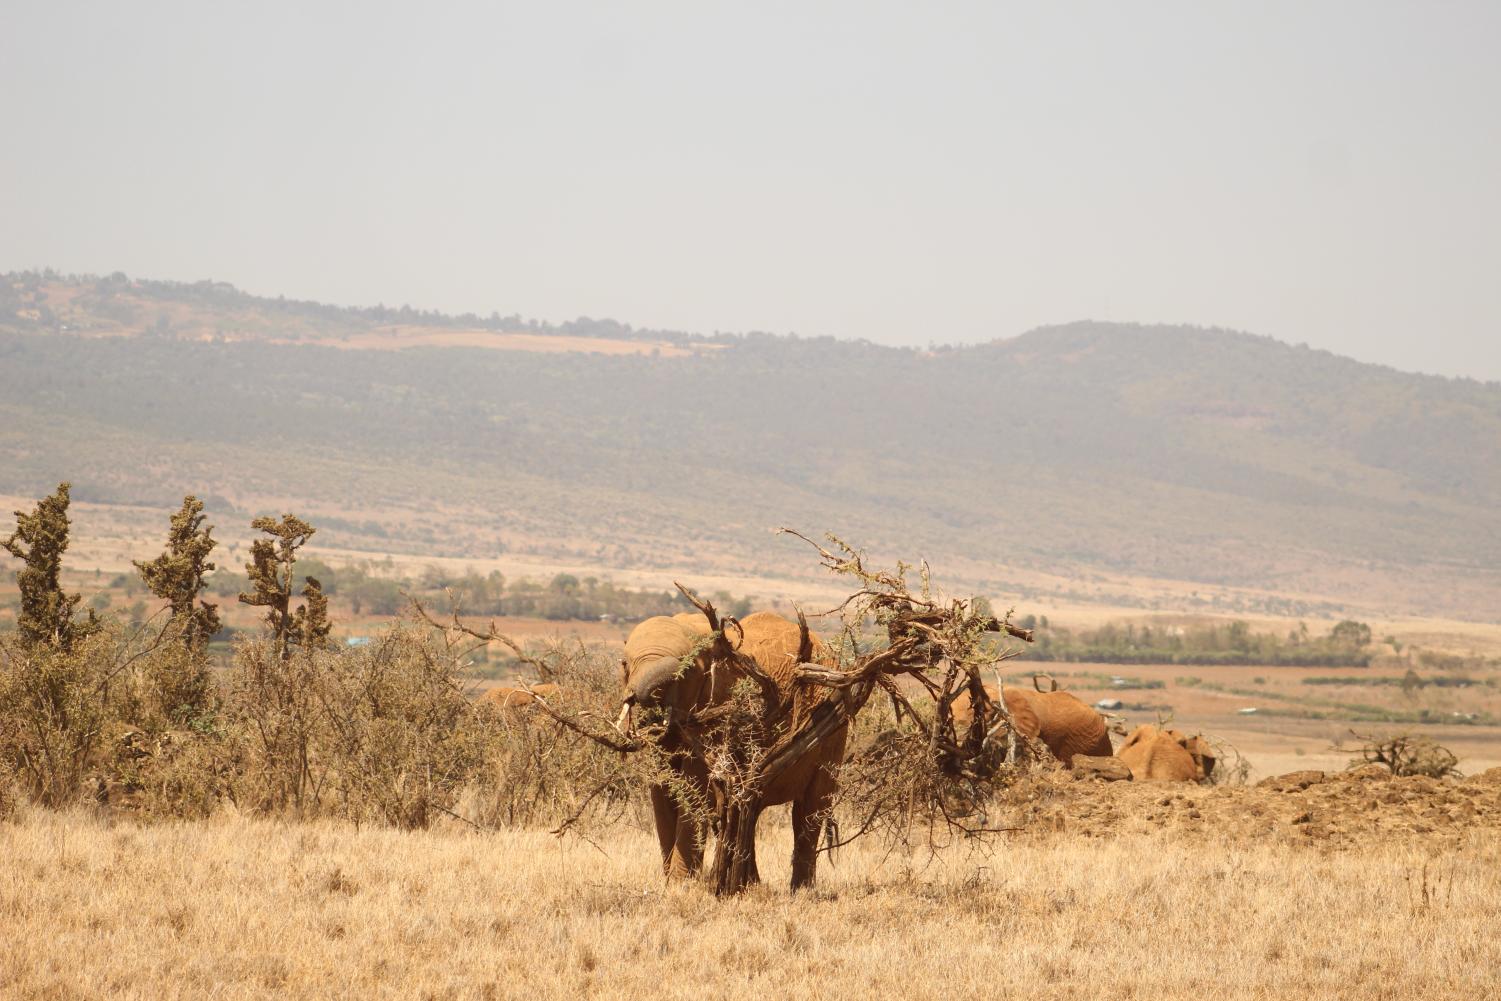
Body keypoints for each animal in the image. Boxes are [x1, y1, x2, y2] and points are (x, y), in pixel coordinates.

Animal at [612, 606, 846, 888]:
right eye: (625, 664)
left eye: (689, 670)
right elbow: (663, 788)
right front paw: (670, 884)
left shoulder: (719, 709)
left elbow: (694, 788)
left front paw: (680, 885)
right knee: (751, 810)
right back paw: (749, 885)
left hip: (833, 728)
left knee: (811, 808)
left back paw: (800, 890)